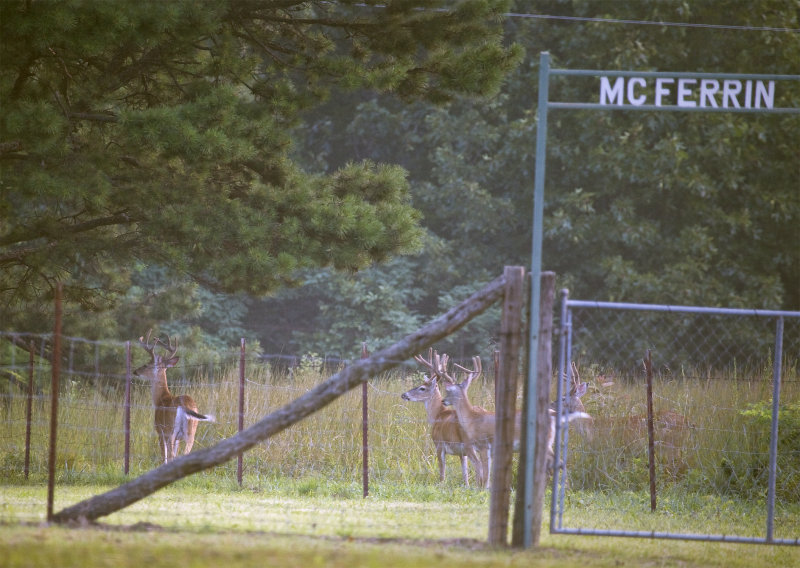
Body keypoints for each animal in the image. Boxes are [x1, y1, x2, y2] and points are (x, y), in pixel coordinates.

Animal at [134, 330, 216, 464]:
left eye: (146, 365)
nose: (135, 371)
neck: (161, 399)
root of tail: (184, 406)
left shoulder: (160, 431)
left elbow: (165, 456)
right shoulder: (178, 438)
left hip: (171, 429)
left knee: (171, 455)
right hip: (191, 431)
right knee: (185, 453)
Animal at [400, 350, 488, 488]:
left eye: (422, 388)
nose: (404, 395)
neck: (438, 415)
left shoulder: (439, 444)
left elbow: (442, 471)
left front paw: (441, 486)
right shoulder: (462, 453)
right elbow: (465, 474)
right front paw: (467, 487)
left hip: (470, 443)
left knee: (479, 464)